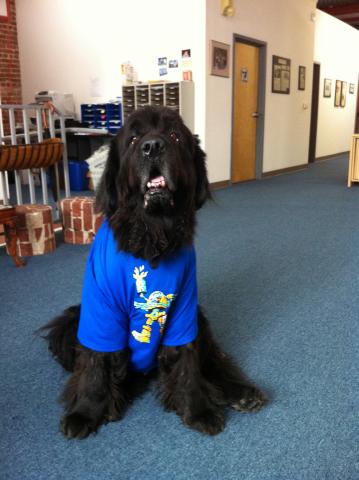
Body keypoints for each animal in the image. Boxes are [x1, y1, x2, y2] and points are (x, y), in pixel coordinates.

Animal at [41, 105, 268, 438]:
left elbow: (188, 362)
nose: (153, 146)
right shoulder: (101, 310)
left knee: (213, 358)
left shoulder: (184, 308)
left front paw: (197, 408)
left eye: (174, 135)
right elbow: (94, 362)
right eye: (134, 139)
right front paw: (84, 412)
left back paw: (242, 392)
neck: (152, 235)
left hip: (199, 317)